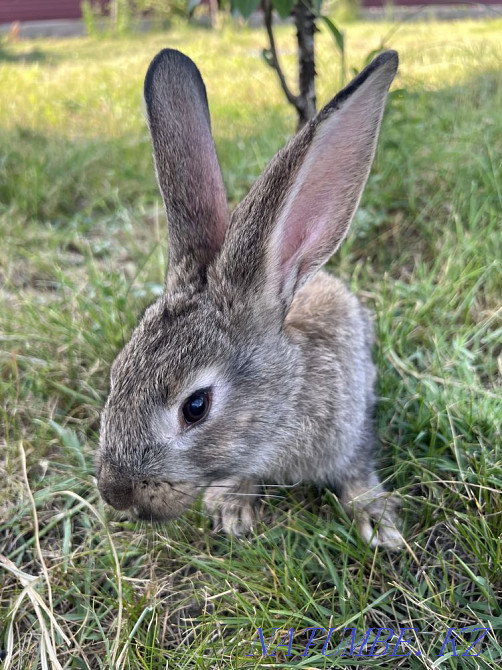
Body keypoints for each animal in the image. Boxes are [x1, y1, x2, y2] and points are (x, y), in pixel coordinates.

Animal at [96, 47, 403, 549]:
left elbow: (357, 473)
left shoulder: (352, 429)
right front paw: (232, 507)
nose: (114, 491)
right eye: (116, 373)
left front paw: (377, 521)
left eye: (195, 407)